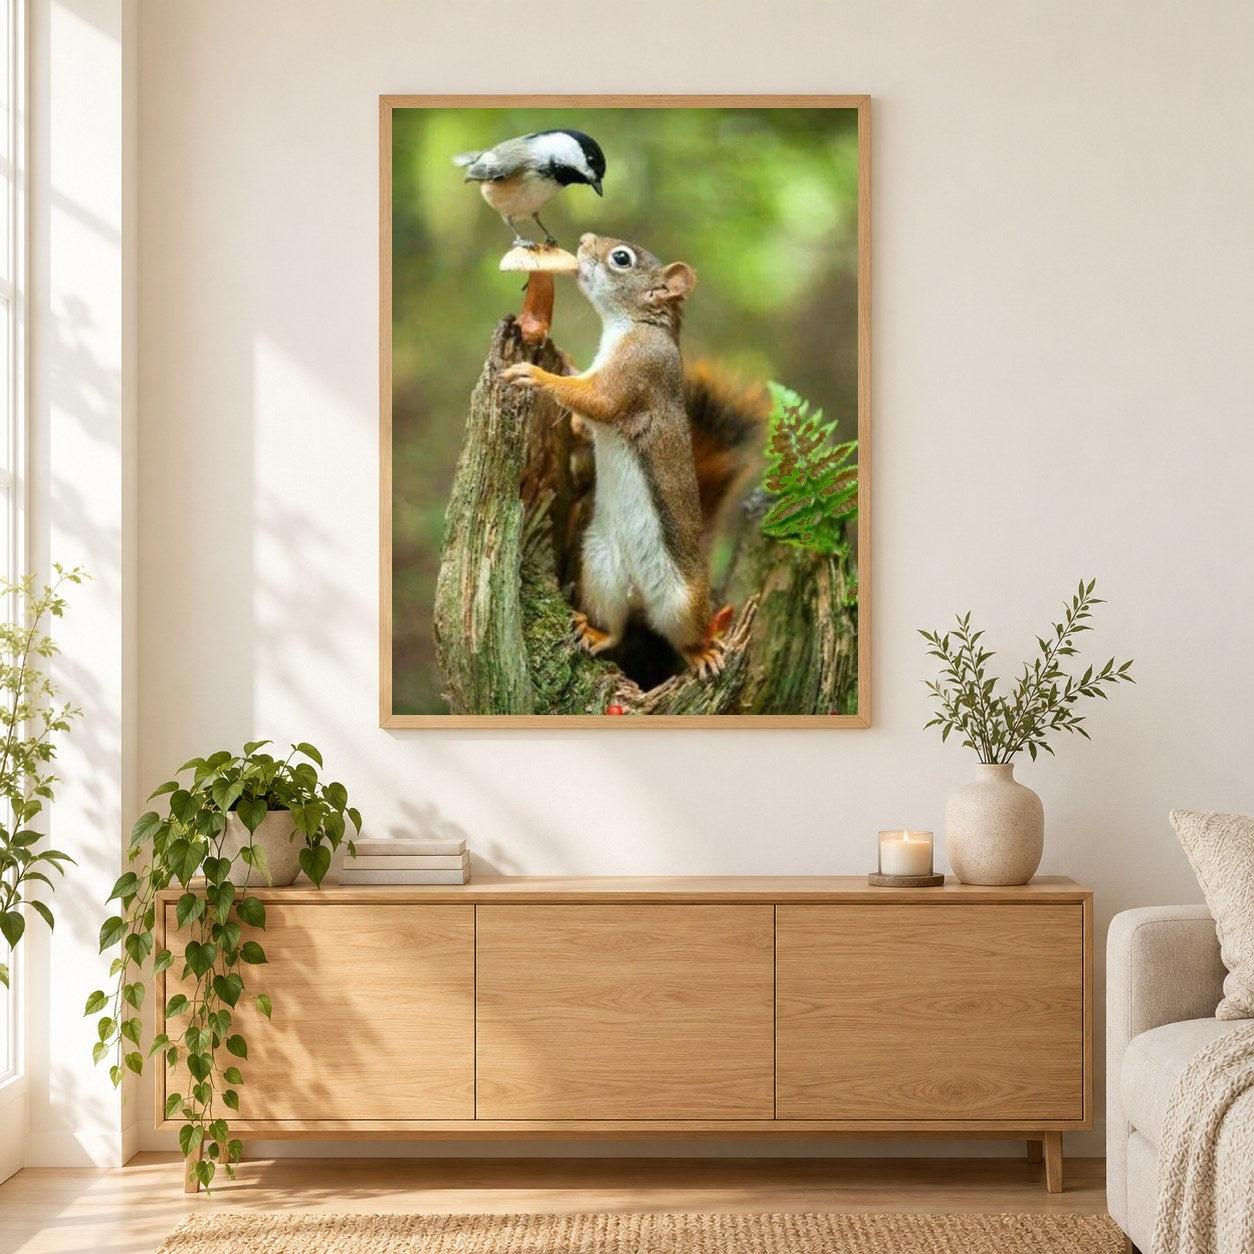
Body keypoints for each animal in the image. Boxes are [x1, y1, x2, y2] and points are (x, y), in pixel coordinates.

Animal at [503, 233, 765, 679]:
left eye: (621, 259)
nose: (583, 240)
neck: (634, 325)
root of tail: (639, 593)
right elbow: (587, 418)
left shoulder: (635, 374)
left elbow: (596, 401)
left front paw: (535, 375)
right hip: (600, 569)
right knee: (617, 627)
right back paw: (595, 632)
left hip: (682, 601)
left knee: (685, 635)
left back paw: (703, 651)